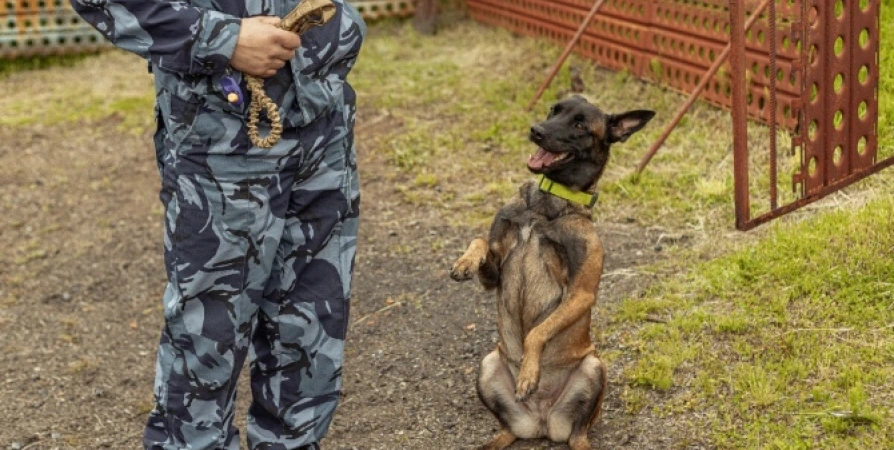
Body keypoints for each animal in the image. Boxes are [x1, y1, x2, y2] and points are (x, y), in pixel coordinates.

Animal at [452, 96, 656, 450]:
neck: (546, 204)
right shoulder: (495, 274)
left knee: (579, 434)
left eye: (580, 125)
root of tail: (542, 422)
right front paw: (465, 262)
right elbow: (480, 240)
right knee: (507, 429)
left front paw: (528, 373)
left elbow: (536, 332)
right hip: (488, 365)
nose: (536, 130)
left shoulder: (581, 293)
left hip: (593, 368)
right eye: (554, 110)